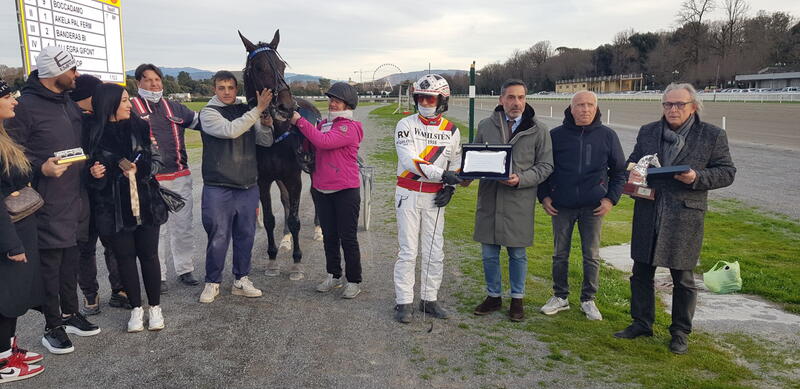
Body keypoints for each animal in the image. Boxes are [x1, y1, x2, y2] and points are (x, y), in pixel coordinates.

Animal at [239, 30, 320, 278]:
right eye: (258, 67)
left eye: (282, 66)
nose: (286, 107)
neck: (275, 135)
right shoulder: (264, 180)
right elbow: (269, 218)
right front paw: (273, 258)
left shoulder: (294, 177)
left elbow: (295, 219)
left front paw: (297, 261)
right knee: (284, 200)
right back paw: (285, 239)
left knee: (315, 193)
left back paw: (318, 229)